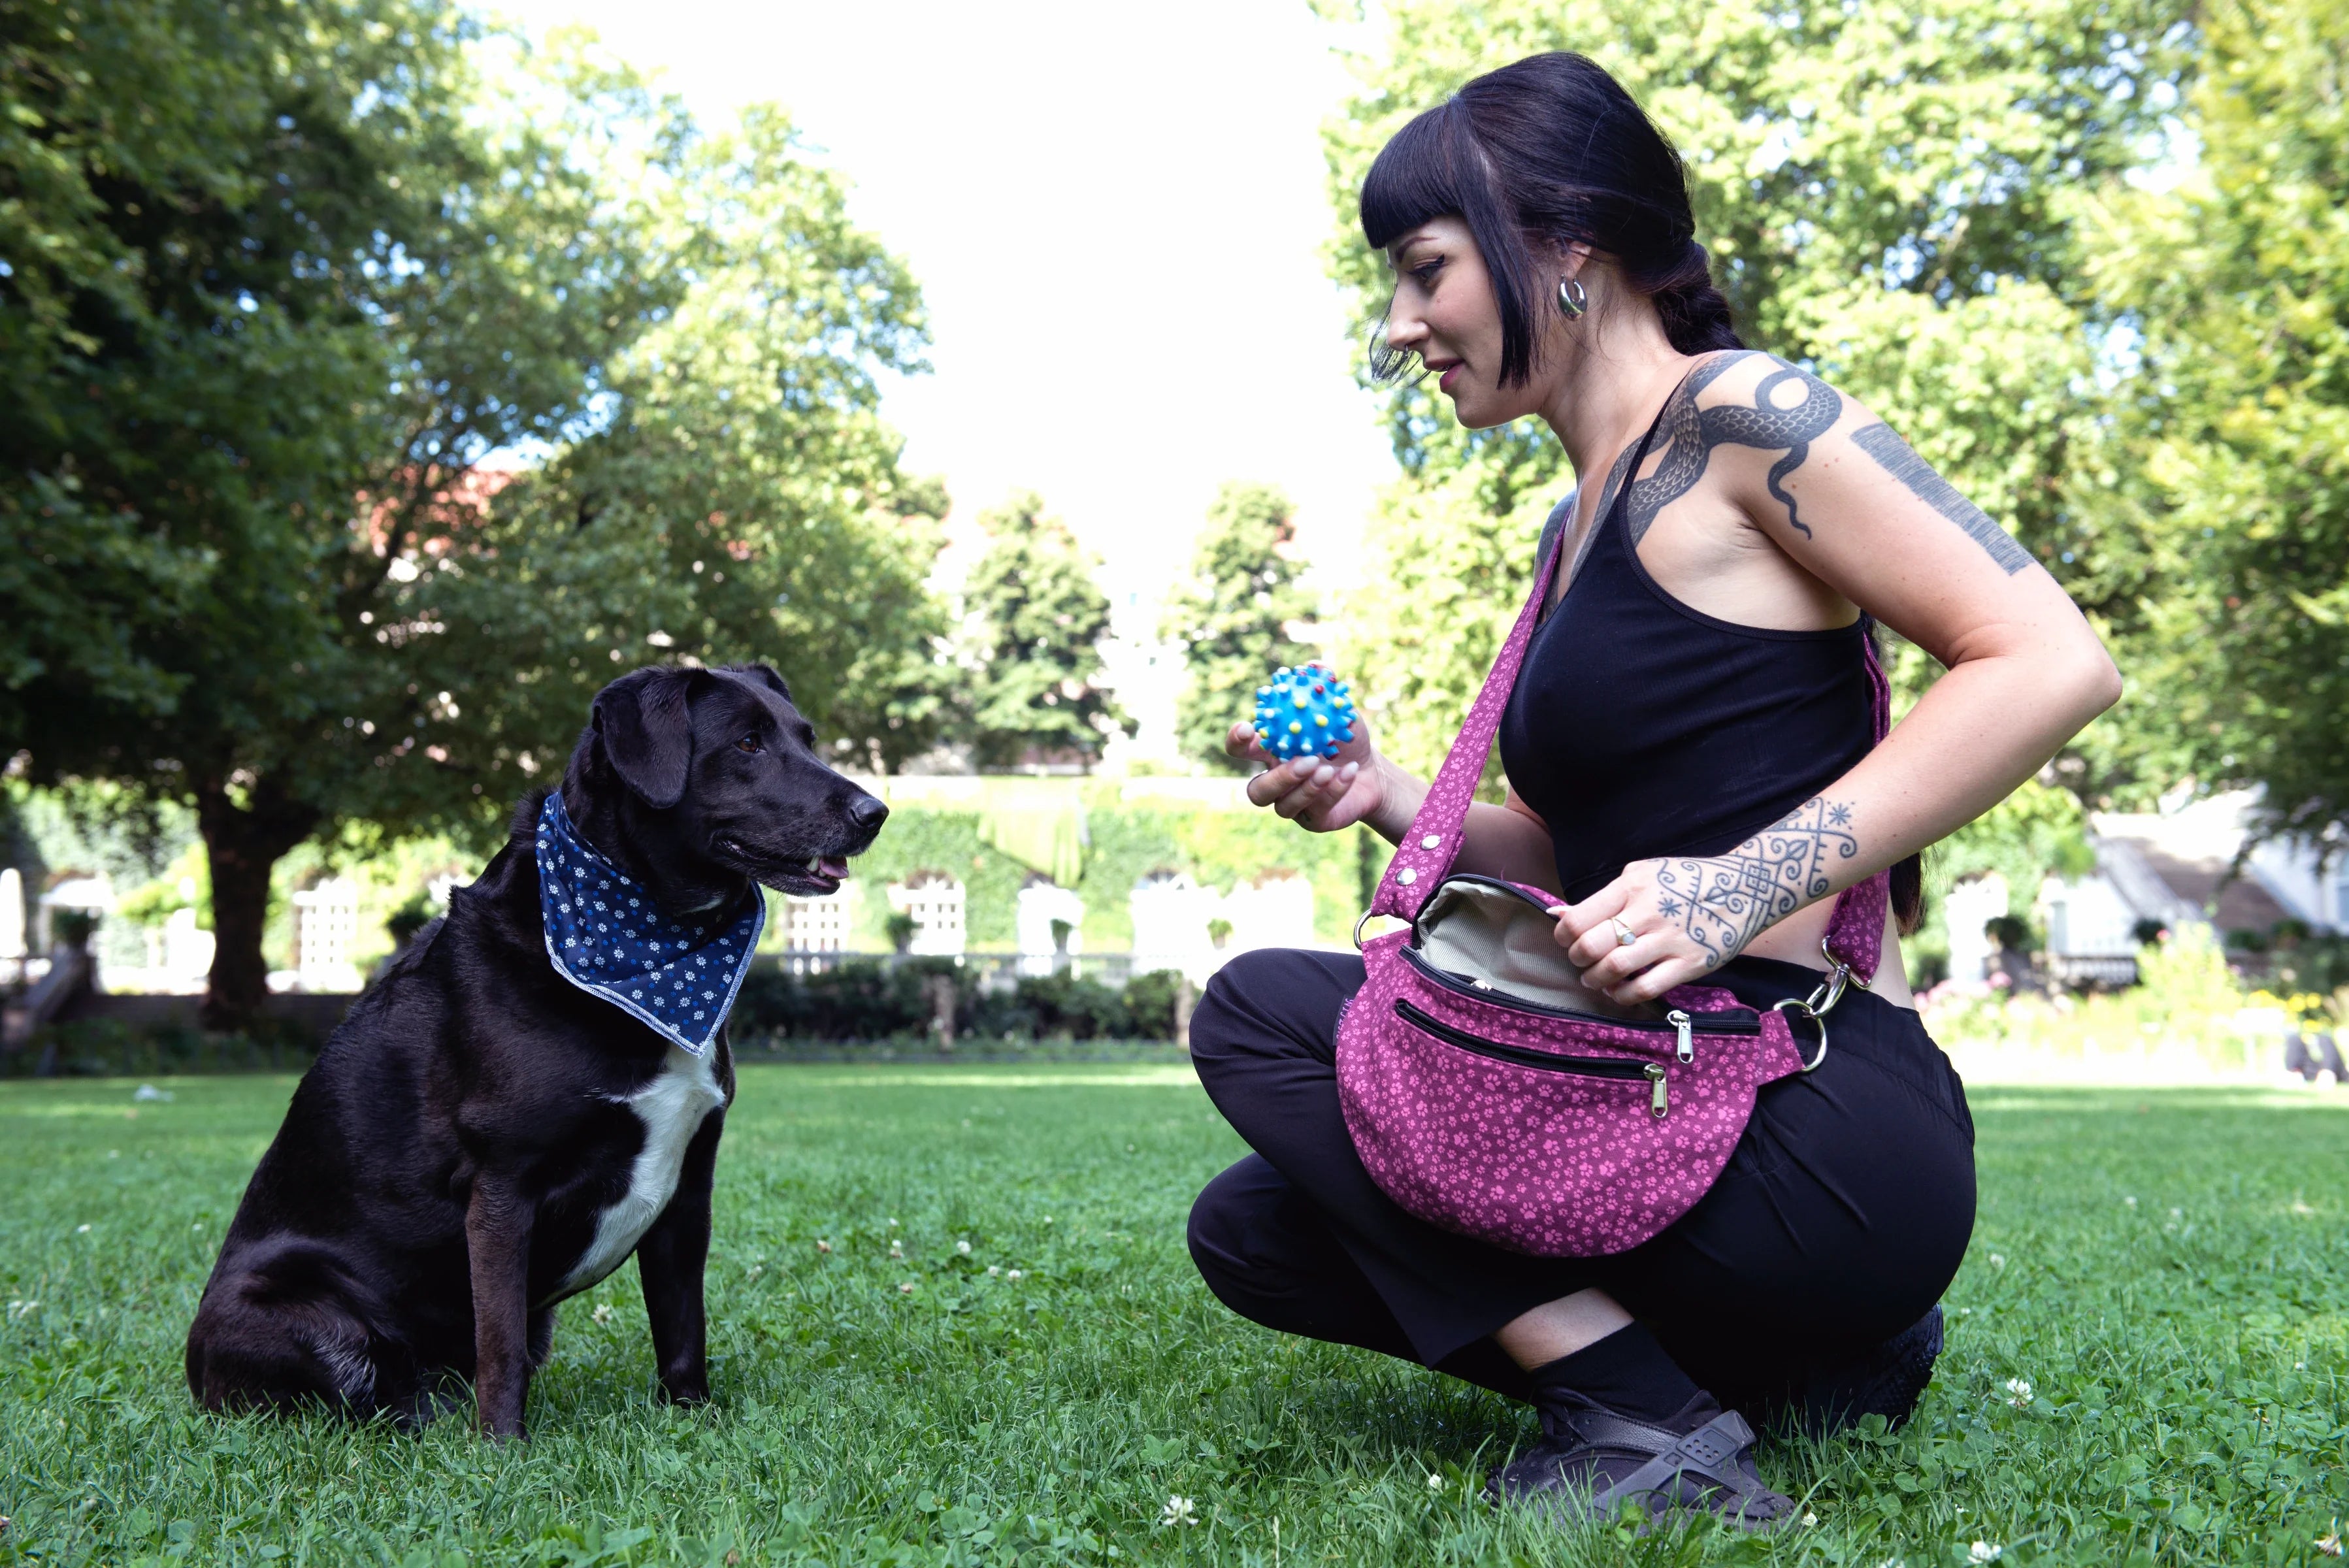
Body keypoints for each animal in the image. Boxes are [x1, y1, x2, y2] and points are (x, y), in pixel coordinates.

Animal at [188, 662, 883, 1436]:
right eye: (748, 743)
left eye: (806, 739)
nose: (874, 812)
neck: (642, 937)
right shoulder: (502, 1189)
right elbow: (500, 1344)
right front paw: (501, 1447)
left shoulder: (688, 1189)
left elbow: (682, 1327)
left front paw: (693, 1420)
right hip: (301, 1313)